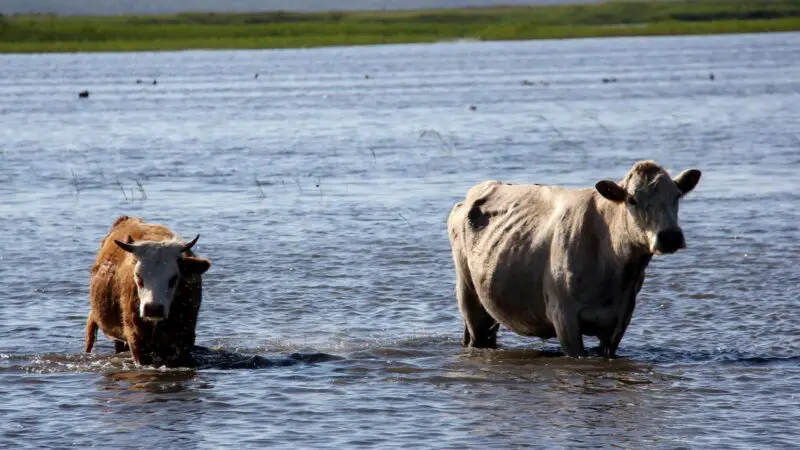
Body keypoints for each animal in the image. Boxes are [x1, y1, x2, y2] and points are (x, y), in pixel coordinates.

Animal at [446, 162, 704, 358]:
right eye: (632, 200)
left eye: (677, 196)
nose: (670, 236)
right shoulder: (564, 318)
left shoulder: (621, 318)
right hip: (469, 295)